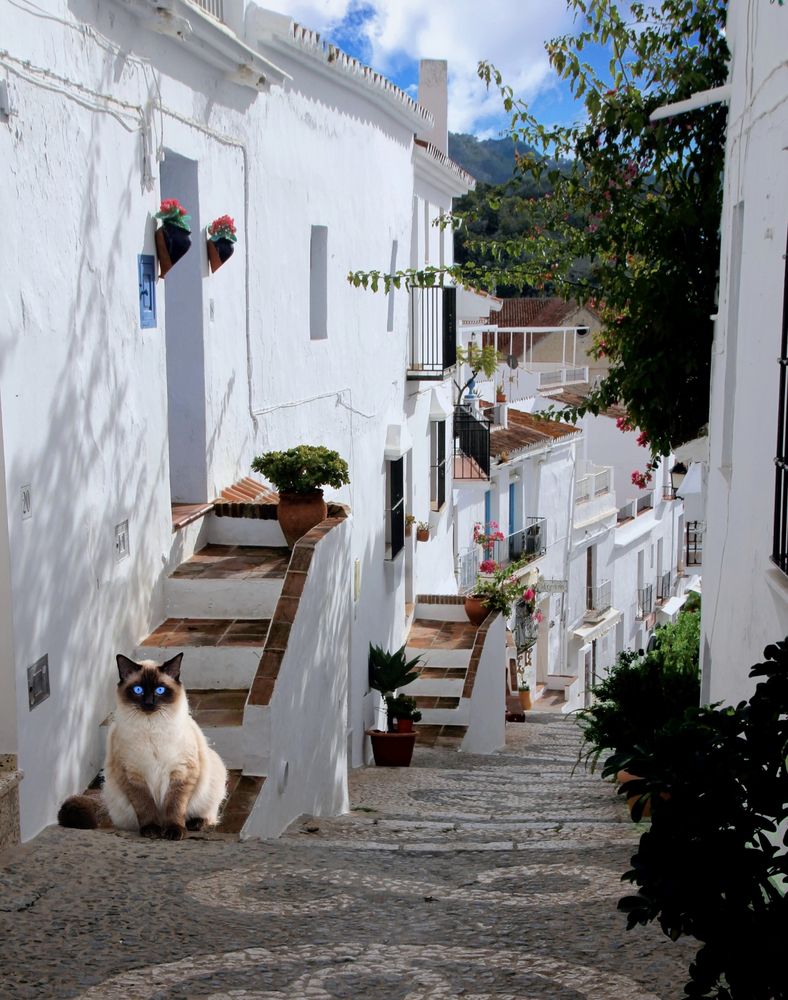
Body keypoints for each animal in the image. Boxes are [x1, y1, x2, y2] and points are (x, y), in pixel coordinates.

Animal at [59, 652, 228, 840]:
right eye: (138, 690)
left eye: (160, 690)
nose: (148, 703)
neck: (150, 728)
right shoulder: (133, 776)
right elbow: (146, 807)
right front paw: (152, 831)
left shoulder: (181, 773)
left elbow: (175, 807)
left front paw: (174, 831)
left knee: (208, 815)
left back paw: (194, 823)